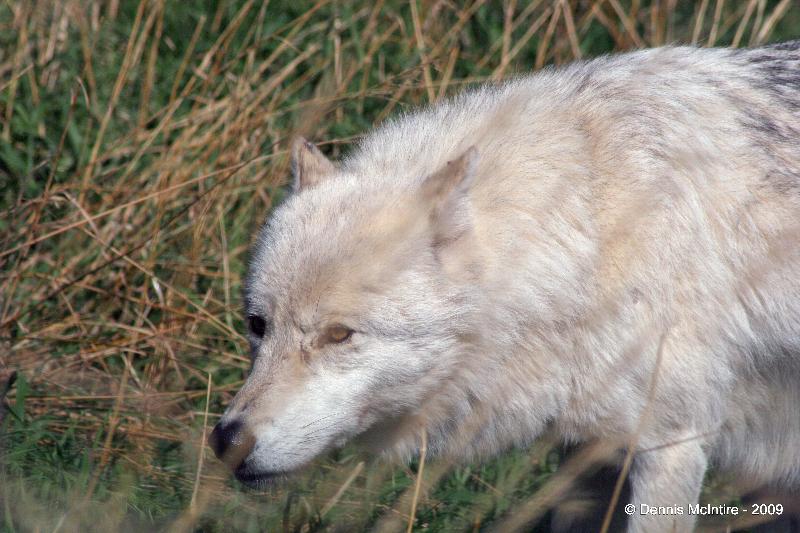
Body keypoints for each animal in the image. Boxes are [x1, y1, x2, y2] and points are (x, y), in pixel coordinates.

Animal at [210, 41, 800, 532]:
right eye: (258, 326)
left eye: (338, 335)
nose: (227, 442)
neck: (594, 225)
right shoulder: (588, 452)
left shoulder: (671, 443)